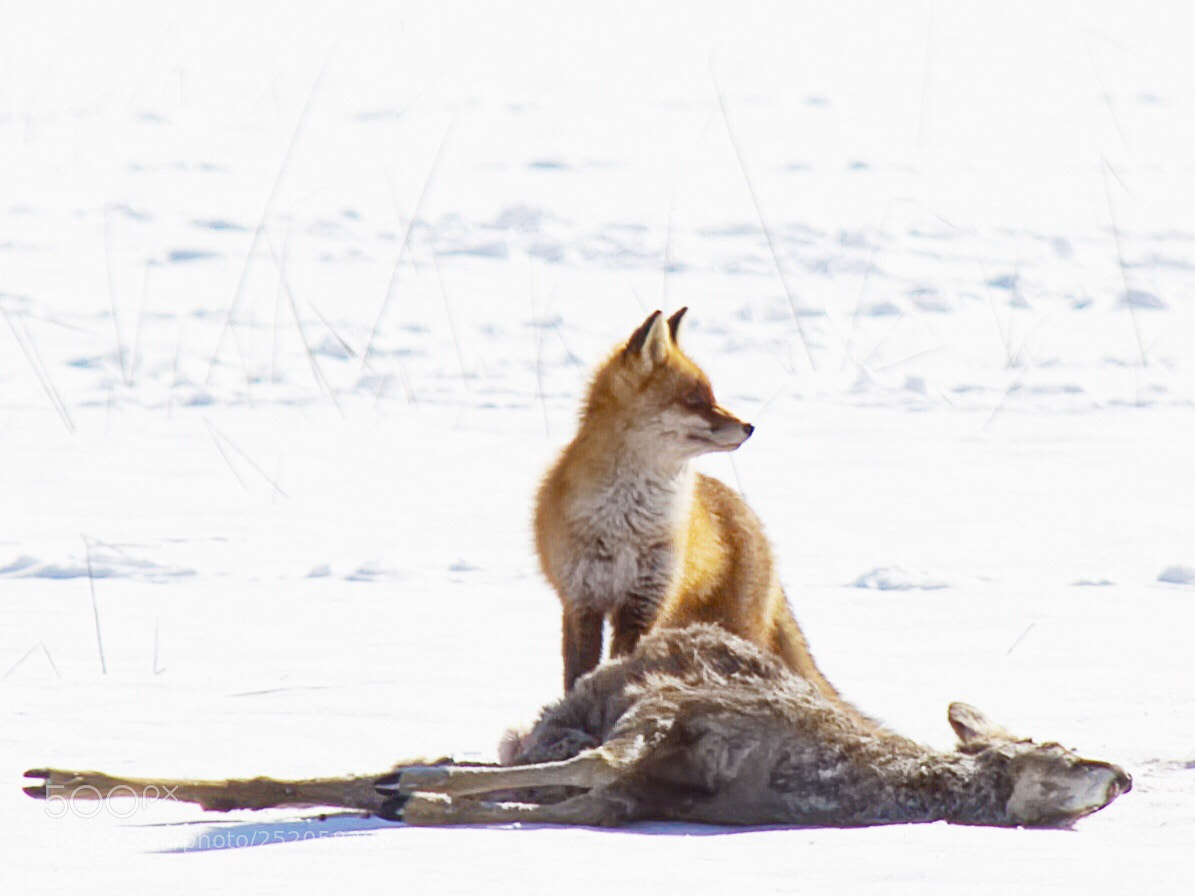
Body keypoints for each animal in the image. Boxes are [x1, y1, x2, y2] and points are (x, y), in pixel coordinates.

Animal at [534, 308, 846, 707]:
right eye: (693, 399)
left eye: (711, 395)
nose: (749, 426)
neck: (626, 522)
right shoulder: (581, 602)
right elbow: (577, 674)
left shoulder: (644, 601)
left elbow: (618, 665)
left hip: (732, 627)